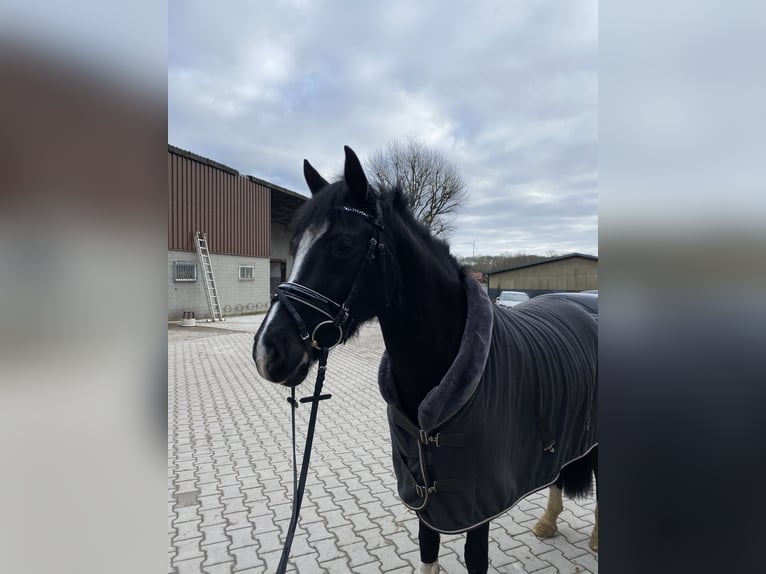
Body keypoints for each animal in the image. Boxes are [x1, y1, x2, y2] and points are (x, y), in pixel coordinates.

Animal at [254, 147, 600, 574]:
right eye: (295, 242)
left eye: (344, 245)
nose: (268, 351)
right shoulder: (423, 495)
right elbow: (427, 548)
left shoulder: (477, 504)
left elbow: (474, 558)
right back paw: (547, 523)